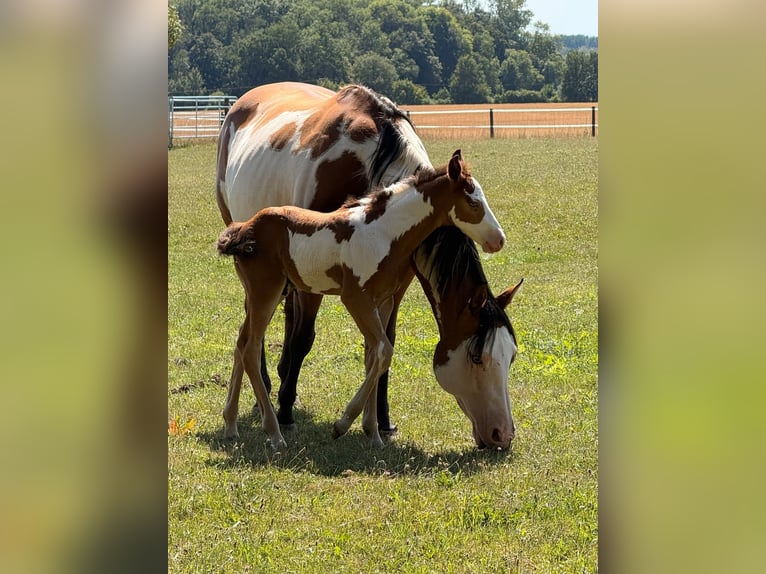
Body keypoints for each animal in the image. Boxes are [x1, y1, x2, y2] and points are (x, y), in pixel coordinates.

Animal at [216, 82, 520, 448]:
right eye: (477, 356)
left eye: (512, 354)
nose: (502, 434)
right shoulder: (350, 294)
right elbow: (314, 340)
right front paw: (333, 420)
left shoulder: (389, 293)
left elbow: (379, 351)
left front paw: (377, 426)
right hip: (264, 280)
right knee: (253, 342)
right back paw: (274, 421)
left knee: (245, 336)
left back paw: (235, 419)